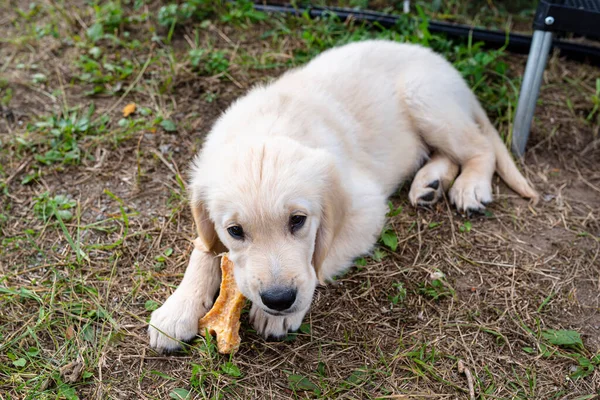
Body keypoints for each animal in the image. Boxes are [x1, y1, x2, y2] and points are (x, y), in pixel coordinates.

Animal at [148, 38, 536, 350]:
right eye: (235, 231)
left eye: (298, 221)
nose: (278, 299)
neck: (267, 127)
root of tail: (443, 64)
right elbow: (202, 250)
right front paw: (176, 309)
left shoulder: (366, 208)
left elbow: (320, 258)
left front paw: (280, 314)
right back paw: (431, 183)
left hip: (425, 98)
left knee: (479, 146)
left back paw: (470, 186)